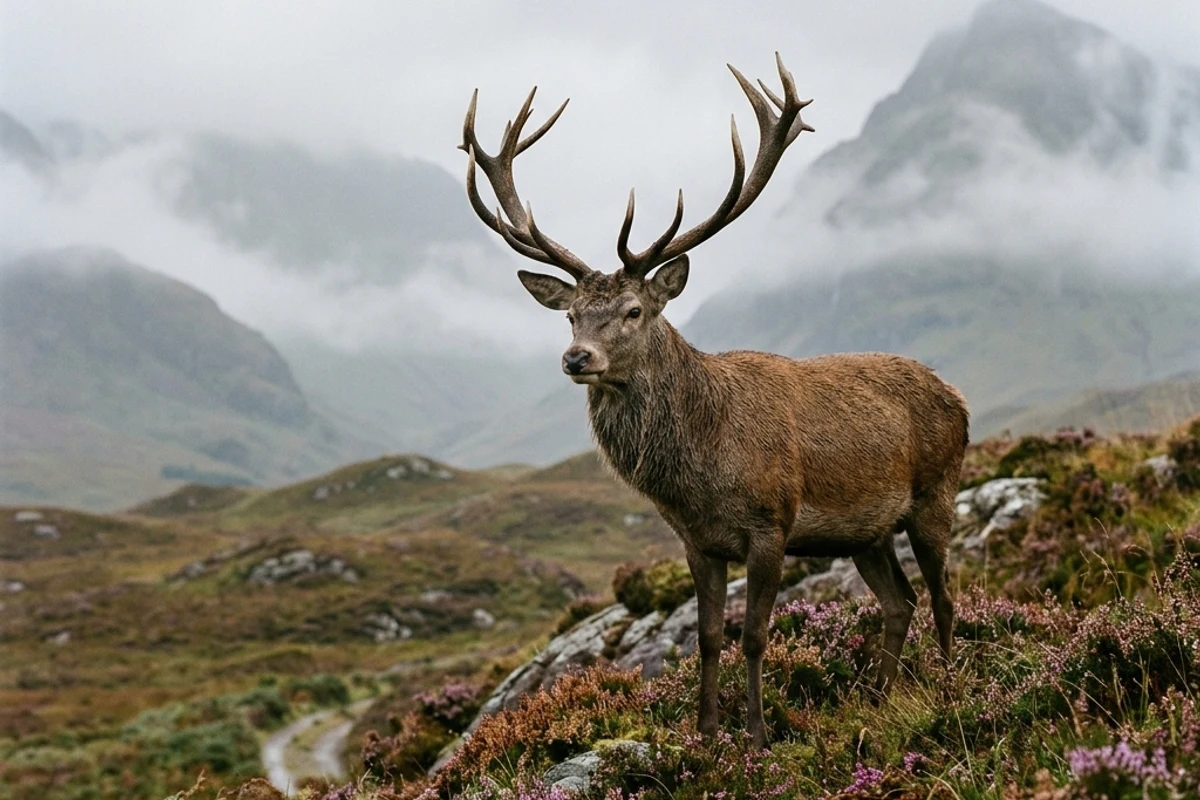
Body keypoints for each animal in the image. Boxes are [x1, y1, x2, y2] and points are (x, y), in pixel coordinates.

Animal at [458, 54, 969, 749]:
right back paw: (879, 700)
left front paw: (755, 735)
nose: (577, 359)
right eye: (569, 317)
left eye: (633, 310)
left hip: (936, 493)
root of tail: (959, 398)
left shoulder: (771, 524)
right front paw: (703, 734)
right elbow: (704, 637)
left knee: (943, 597)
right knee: (900, 601)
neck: (701, 469)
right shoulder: (697, 542)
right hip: (866, 531)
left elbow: (752, 636)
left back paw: (947, 692)